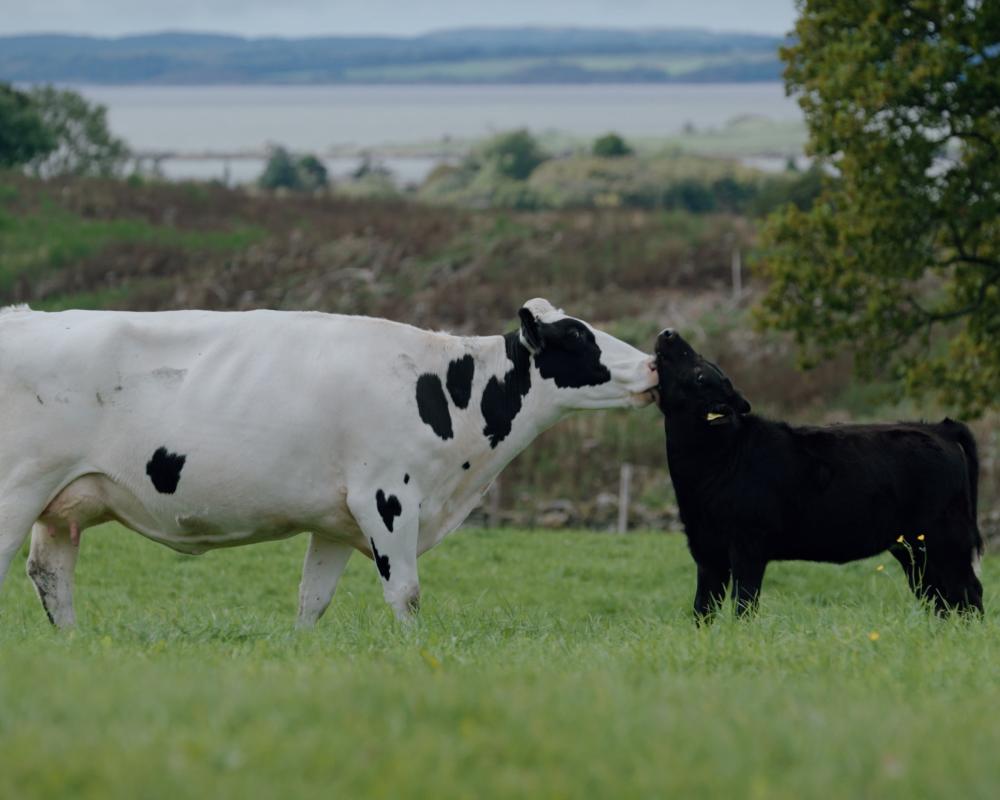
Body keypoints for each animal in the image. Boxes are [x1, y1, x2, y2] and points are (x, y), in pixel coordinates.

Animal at [0, 300, 657, 627]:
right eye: (578, 338)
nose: (654, 362)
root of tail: (21, 313)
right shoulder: (387, 497)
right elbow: (406, 594)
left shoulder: (336, 520)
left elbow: (310, 601)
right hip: (16, 491)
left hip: (60, 505)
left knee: (49, 577)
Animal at [654, 328, 984, 620]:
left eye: (700, 375)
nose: (669, 333)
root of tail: (937, 428)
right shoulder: (706, 549)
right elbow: (703, 609)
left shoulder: (748, 546)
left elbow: (744, 604)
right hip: (912, 549)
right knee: (939, 595)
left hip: (945, 537)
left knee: (967, 591)